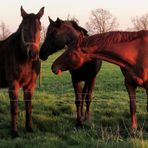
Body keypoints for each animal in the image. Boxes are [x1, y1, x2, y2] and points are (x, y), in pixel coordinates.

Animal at [0, 6, 44, 136]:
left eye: (39, 28)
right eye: (24, 28)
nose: (33, 53)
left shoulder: (30, 86)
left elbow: (28, 107)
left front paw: (29, 128)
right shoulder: (13, 85)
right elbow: (14, 108)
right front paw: (14, 132)